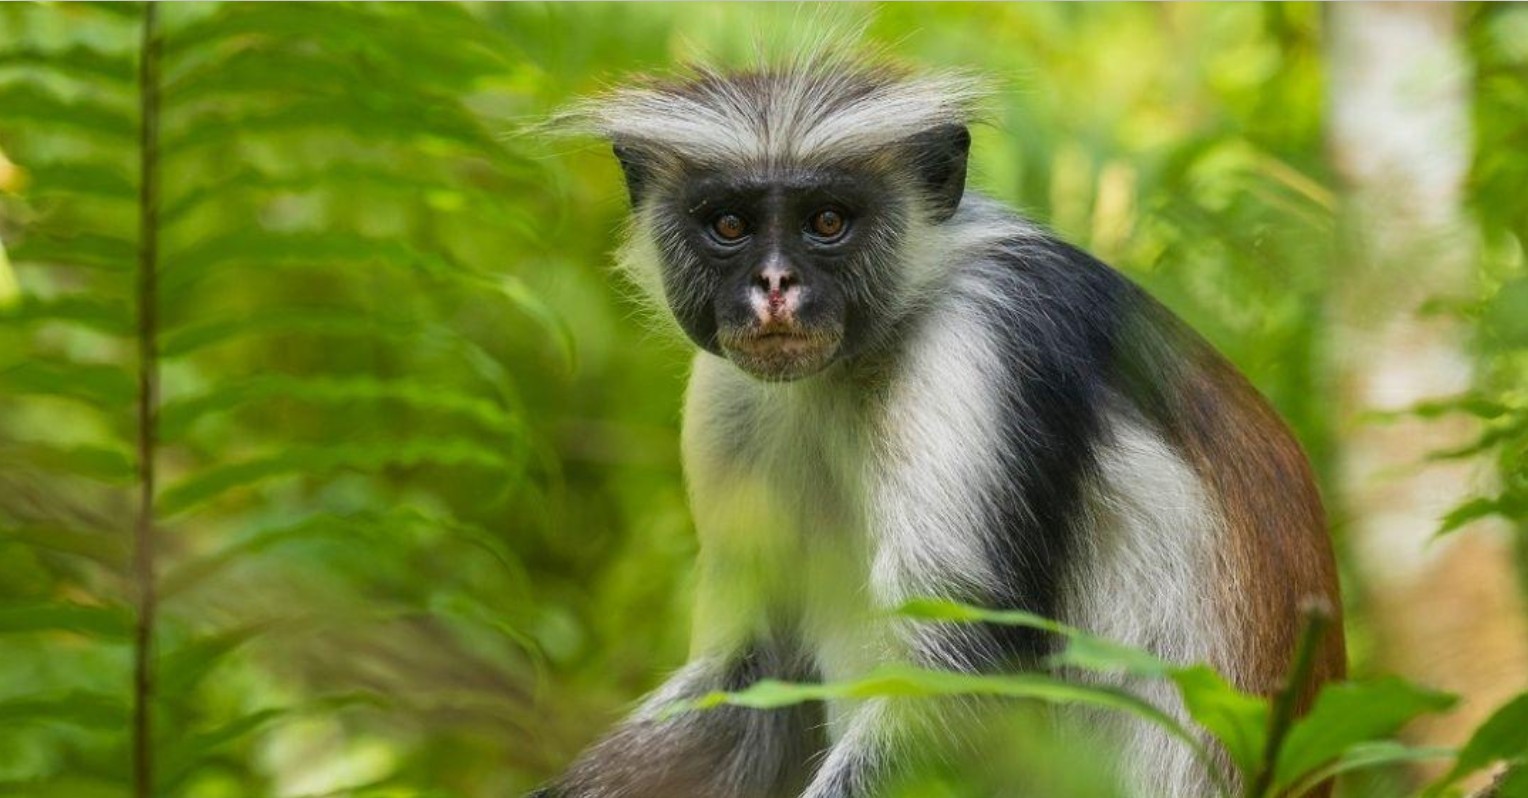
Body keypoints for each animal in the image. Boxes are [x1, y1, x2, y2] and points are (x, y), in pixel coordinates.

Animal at [536, 52, 1345, 798]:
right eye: (729, 225)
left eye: (827, 221)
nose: (774, 286)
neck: (848, 367)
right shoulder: (731, 390)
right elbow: (754, 676)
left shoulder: (983, 335)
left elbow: (969, 683)